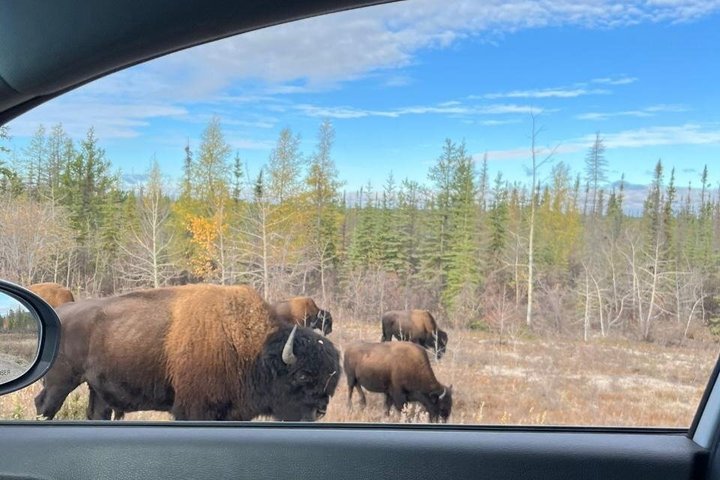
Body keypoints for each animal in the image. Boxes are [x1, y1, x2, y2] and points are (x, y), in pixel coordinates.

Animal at [35, 284, 340, 421]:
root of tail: (60, 313)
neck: (253, 350)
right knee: (45, 404)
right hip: (61, 381)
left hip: (97, 388)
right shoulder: (194, 410)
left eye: (331, 379)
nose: (320, 410)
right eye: (302, 375)